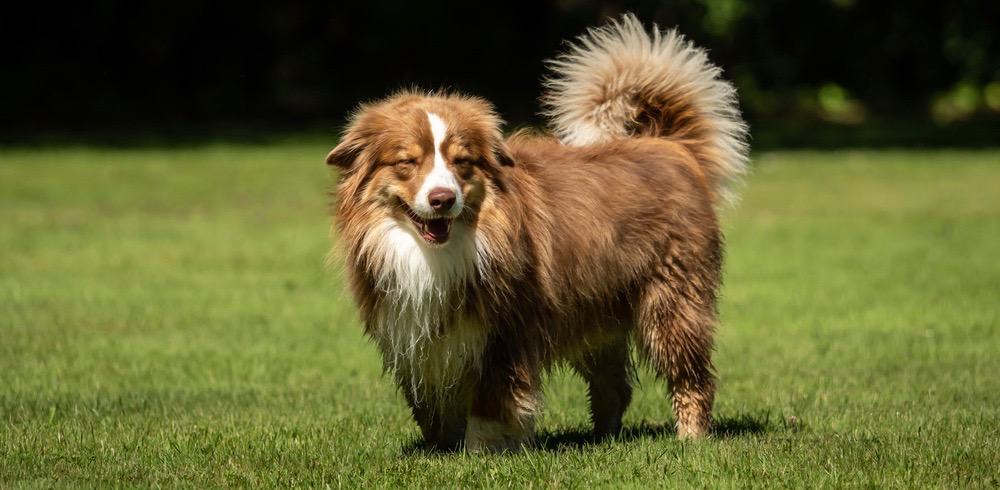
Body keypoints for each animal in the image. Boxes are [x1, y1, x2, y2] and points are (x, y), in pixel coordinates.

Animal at [328, 15, 752, 452]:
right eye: (407, 162)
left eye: (462, 162)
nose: (443, 198)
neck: (438, 253)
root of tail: (671, 147)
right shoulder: (417, 339)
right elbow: (431, 408)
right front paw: (440, 448)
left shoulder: (504, 333)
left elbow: (490, 404)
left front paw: (480, 452)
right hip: (595, 313)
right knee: (614, 387)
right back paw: (602, 439)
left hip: (672, 300)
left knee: (691, 377)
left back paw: (691, 437)